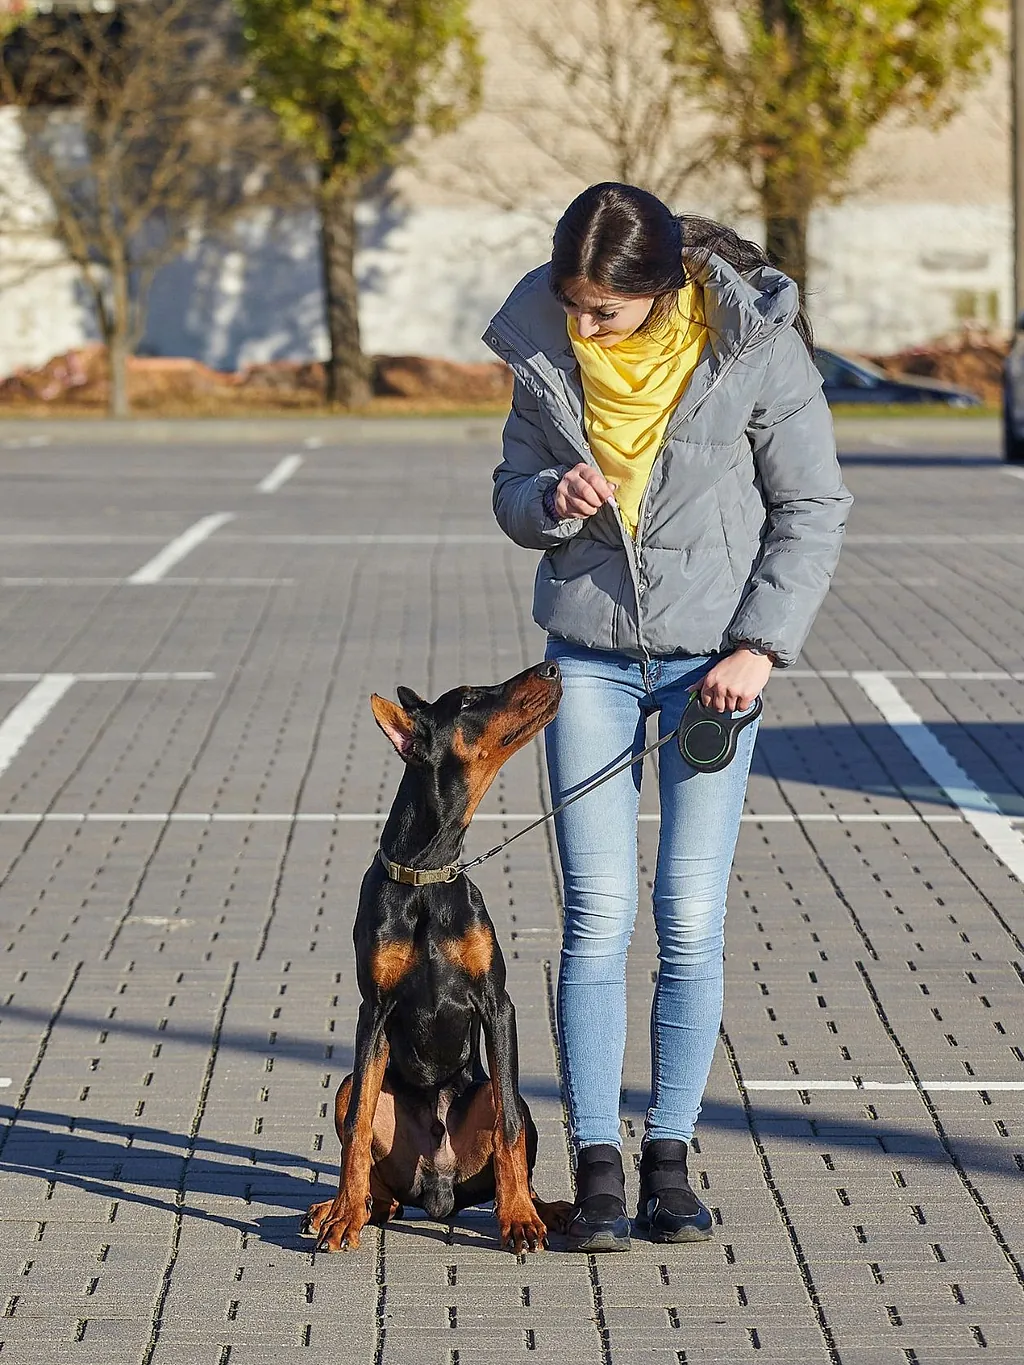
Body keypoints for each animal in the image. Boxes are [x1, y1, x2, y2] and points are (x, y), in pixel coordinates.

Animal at [303, 666, 578, 1250]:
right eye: (471, 699)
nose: (551, 668)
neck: (427, 873)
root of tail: (439, 1193)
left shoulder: (497, 1003)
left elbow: (509, 1128)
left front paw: (519, 1218)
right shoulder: (374, 1009)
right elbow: (358, 1122)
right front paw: (343, 1214)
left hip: (501, 1092)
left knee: (510, 1121)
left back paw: (543, 1208)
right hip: (355, 1094)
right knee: (377, 1170)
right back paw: (347, 1206)